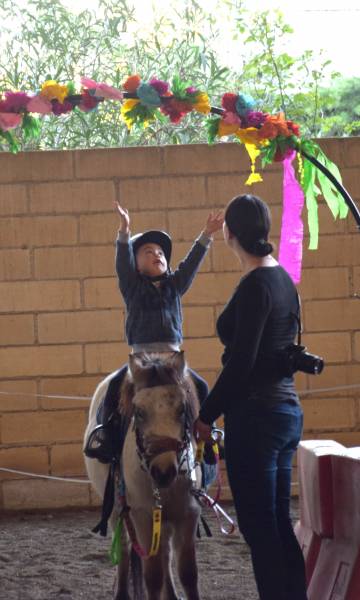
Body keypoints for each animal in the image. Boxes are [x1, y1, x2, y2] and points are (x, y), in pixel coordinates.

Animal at [83, 352, 204, 600]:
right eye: (139, 412)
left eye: (181, 409)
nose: (163, 471)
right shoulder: (143, 517)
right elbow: (153, 576)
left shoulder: (188, 515)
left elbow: (188, 574)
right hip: (116, 509)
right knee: (124, 549)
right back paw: (121, 593)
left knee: (165, 552)